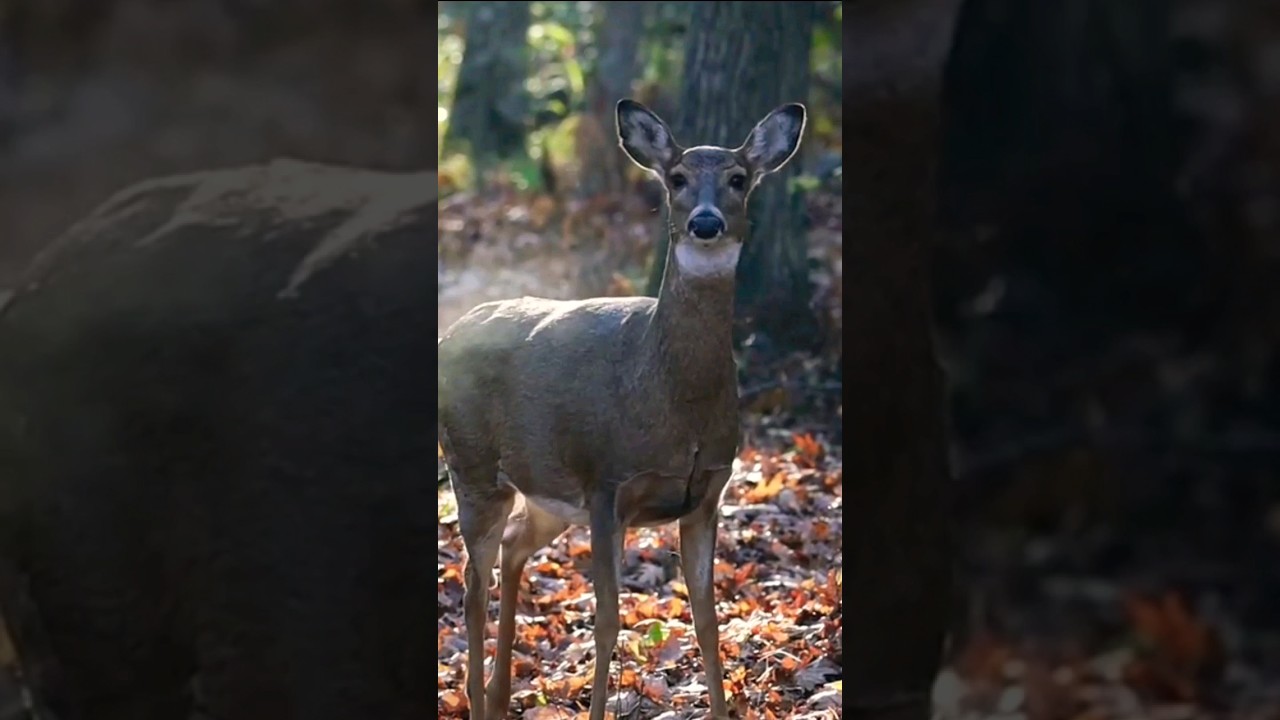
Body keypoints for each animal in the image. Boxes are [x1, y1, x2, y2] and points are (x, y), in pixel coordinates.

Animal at [437, 98, 806, 720]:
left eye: (738, 178)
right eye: (676, 177)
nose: (706, 222)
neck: (674, 404)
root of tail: (452, 330)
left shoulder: (707, 492)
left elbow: (707, 620)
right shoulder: (608, 482)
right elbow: (607, 619)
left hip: (547, 490)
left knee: (512, 549)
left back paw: (502, 695)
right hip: (474, 467)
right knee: (472, 584)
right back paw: (479, 700)